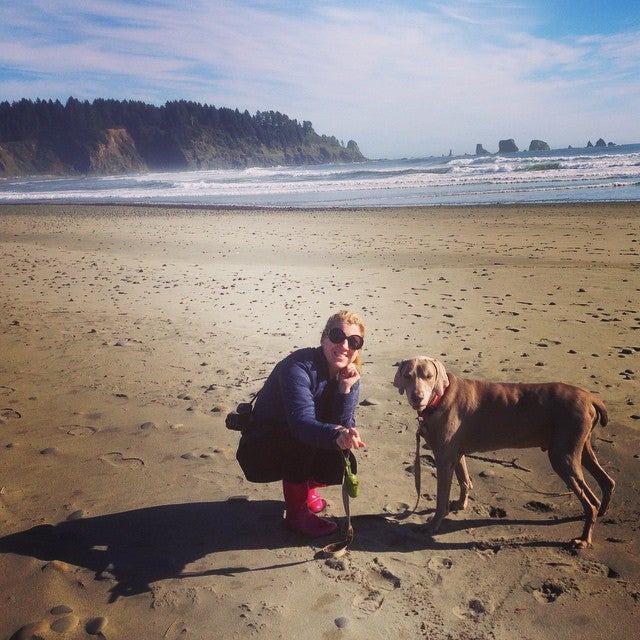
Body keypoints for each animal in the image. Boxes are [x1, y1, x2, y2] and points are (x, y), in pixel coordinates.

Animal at [393, 357, 615, 548]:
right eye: (407, 375)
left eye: (429, 376)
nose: (417, 397)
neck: (440, 398)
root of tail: (591, 398)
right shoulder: (456, 452)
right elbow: (465, 480)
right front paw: (460, 504)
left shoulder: (444, 458)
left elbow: (441, 500)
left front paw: (433, 525)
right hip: (579, 449)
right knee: (606, 484)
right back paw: (600, 514)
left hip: (562, 456)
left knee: (590, 501)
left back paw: (583, 540)